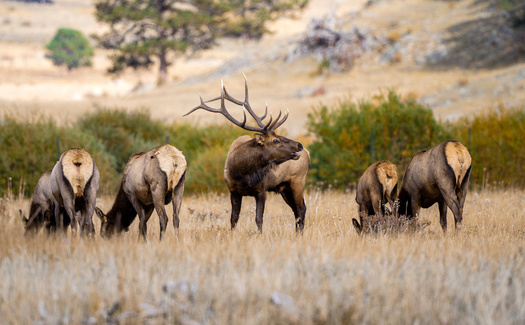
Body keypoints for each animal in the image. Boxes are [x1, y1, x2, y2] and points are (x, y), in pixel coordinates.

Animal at [184, 75, 310, 233]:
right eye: (275, 140)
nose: (299, 145)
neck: (242, 172)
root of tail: (308, 153)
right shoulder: (233, 191)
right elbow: (233, 219)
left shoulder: (262, 190)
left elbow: (259, 219)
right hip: (284, 187)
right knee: (296, 210)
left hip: (298, 181)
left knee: (301, 209)